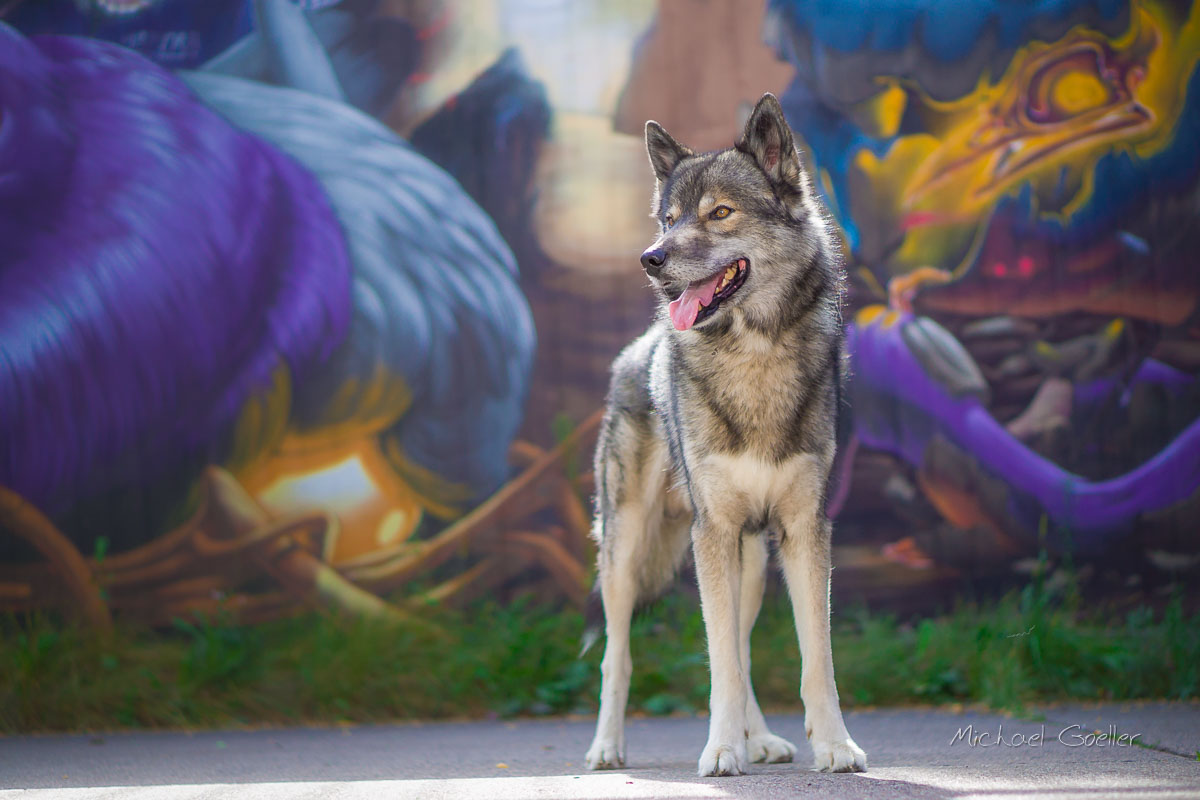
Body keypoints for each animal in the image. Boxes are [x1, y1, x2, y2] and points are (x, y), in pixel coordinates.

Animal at [584, 93, 867, 777]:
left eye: (720, 213)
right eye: (669, 219)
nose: (651, 259)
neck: (754, 354)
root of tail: (635, 350)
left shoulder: (803, 530)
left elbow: (813, 660)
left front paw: (834, 745)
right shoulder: (711, 532)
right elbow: (717, 666)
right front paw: (719, 751)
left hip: (753, 559)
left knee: (739, 648)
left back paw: (757, 739)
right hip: (627, 551)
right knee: (617, 654)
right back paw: (607, 748)